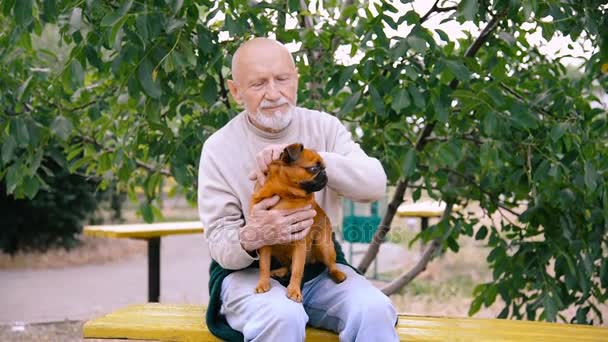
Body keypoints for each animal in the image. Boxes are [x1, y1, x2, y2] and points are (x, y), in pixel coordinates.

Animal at [252, 143, 346, 300]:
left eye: (324, 168)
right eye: (314, 169)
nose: (325, 173)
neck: (285, 194)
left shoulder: (300, 244)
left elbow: (297, 269)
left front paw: (295, 290)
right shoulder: (265, 243)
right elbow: (264, 265)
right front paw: (262, 283)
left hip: (323, 245)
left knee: (330, 264)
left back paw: (337, 274)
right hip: (279, 251)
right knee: (288, 266)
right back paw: (279, 272)